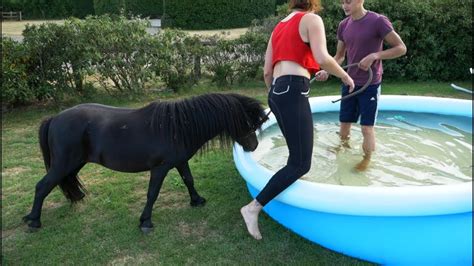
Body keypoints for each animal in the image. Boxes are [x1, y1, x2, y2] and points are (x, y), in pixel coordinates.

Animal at [23, 93, 266, 233]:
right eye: (248, 123)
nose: (254, 146)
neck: (178, 126)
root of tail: (55, 118)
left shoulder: (180, 162)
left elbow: (189, 180)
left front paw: (197, 200)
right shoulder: (159, 169)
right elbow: (152, 193)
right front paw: (145, 222)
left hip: (75, 163)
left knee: (64, 180)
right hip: (63, 163)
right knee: (42, 186)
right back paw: (34, 221)